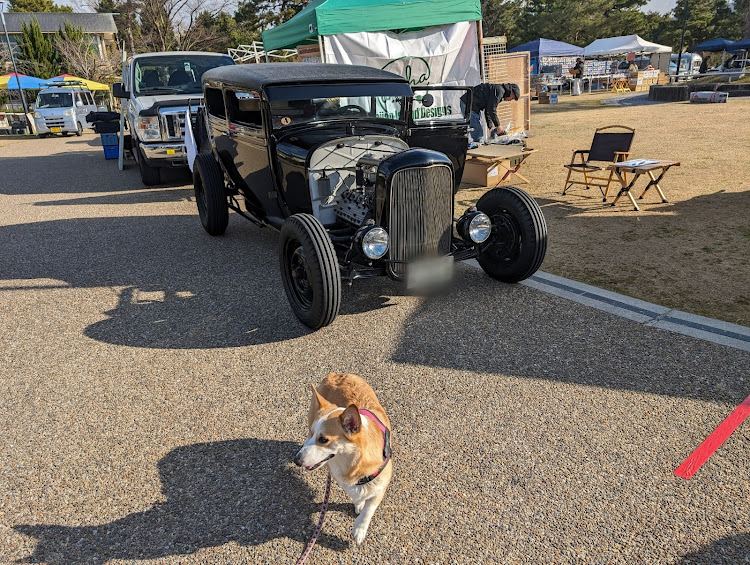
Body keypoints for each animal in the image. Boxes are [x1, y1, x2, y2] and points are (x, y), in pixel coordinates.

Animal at [296, 372, 394, 544]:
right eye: (313, 433)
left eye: (323, 439)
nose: (297, 460)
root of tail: (336, 374)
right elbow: (356, 496)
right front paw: (359, 505)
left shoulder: (381, 487)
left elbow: (369, 510)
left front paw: (359, 530)